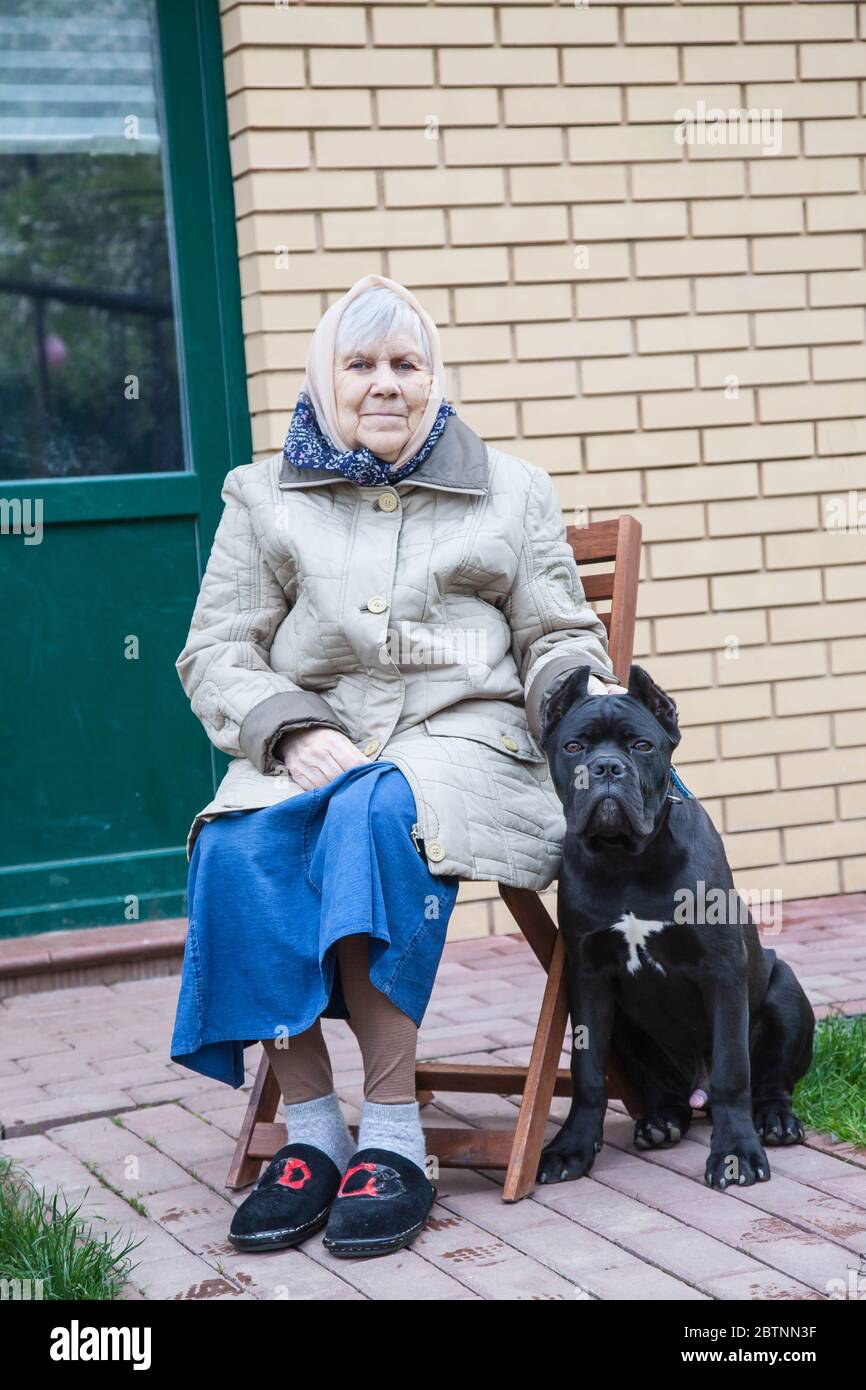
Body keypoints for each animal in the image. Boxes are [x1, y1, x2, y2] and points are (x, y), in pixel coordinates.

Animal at [539, 667, 817, 1189]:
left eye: (642, 746)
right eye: (574, 747)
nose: (607, 768)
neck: (627, 858)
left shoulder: (723, 970)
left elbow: (733, 1070)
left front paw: (736, 1153)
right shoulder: (589, 978)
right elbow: (587, 1074)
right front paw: (571, 1148)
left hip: (786, 992)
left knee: (771, 1082)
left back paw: (775, 1121)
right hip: (626, 1029)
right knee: (665, 1094)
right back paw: (660, 1123)